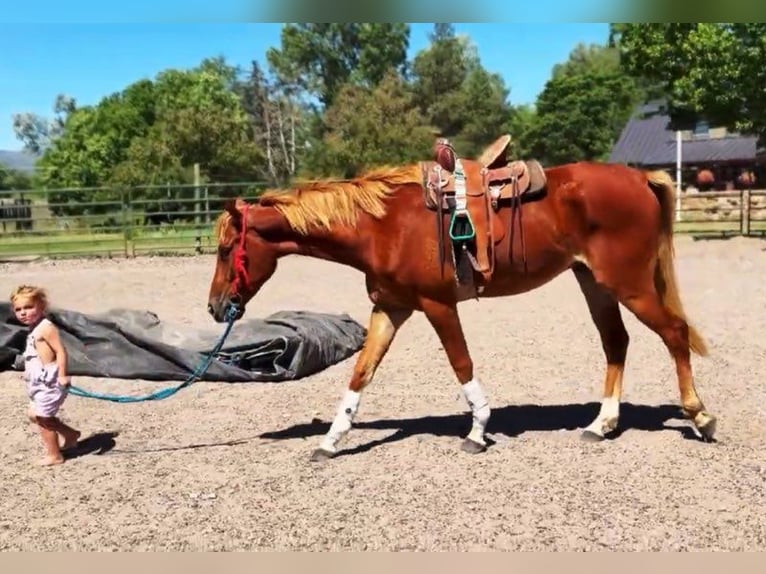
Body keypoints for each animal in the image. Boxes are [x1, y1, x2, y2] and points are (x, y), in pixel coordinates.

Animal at [206, 135, 716, 462]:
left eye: (227, 249)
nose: (215, 307)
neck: (382, 226)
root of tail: (639, 180)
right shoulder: (390, 308)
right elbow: (361, 373)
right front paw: (331, 440)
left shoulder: (437, 305)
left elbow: (461, 364)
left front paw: (477, 430)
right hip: (594, 282)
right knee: (616, 342)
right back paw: (600, 424)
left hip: (628, 284)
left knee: (674, 333)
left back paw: (700, 416)